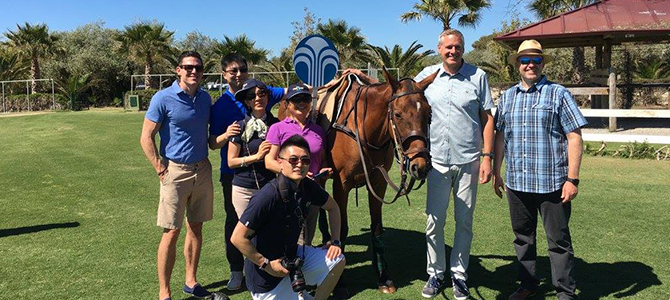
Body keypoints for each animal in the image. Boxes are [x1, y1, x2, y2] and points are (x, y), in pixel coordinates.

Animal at [280, 67, 438, 292]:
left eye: (429, 113)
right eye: (398, 114)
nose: (420, 165)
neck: (365, 130)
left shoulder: (379, 183)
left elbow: (377, 229)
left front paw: (383, 277)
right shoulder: (341, 185)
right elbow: (342, 228)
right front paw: (339, 281)